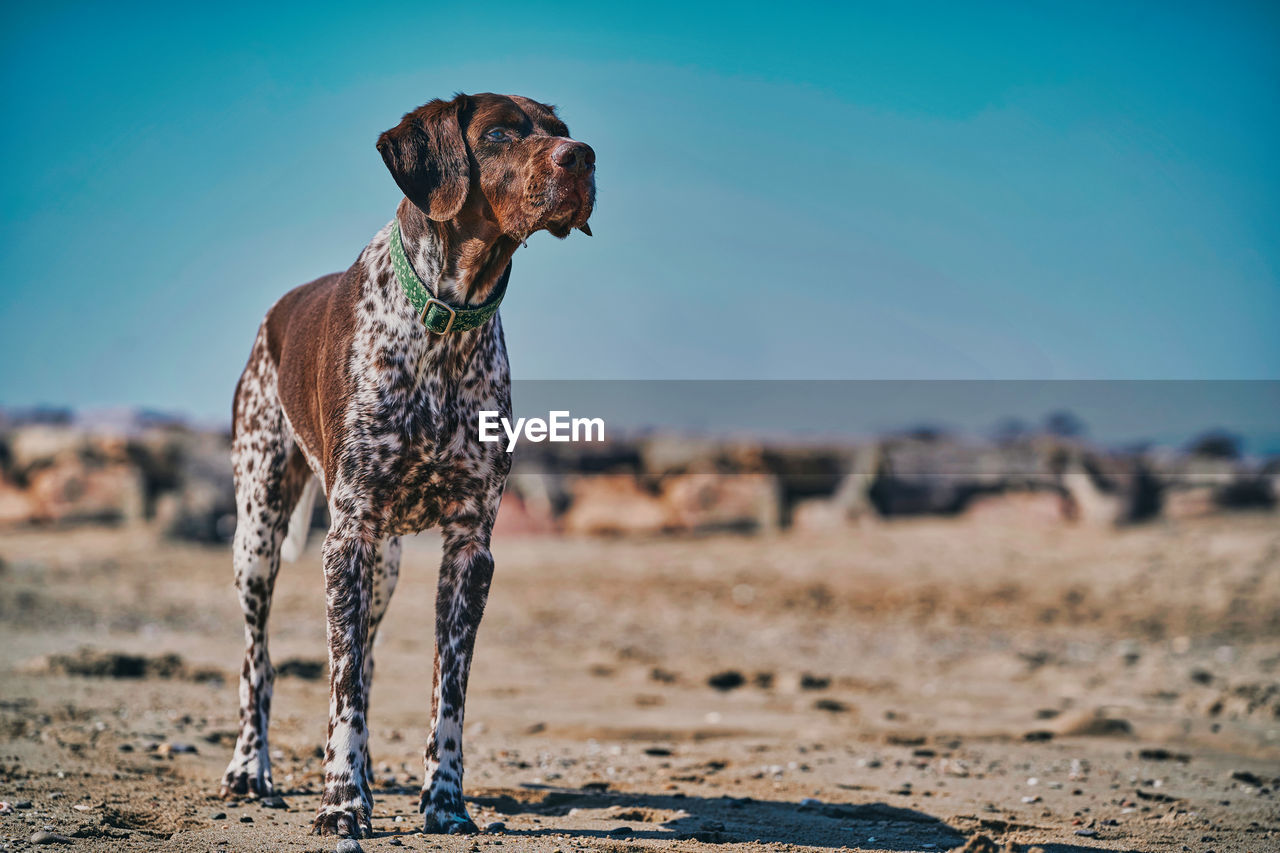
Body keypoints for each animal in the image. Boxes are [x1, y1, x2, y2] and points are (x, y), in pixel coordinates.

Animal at [218, 89, 593, 835]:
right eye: (500, 134)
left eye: (561, 130)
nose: (585, 156)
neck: (447, 320)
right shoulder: (347, 538)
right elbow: (341, 688)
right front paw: (340, 803)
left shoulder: (470, 548)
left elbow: (446, 691)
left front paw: (444, 801)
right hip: (260, 535)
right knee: (260, 661)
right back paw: (251, 767)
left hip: (382, 567)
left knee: (360, 658)